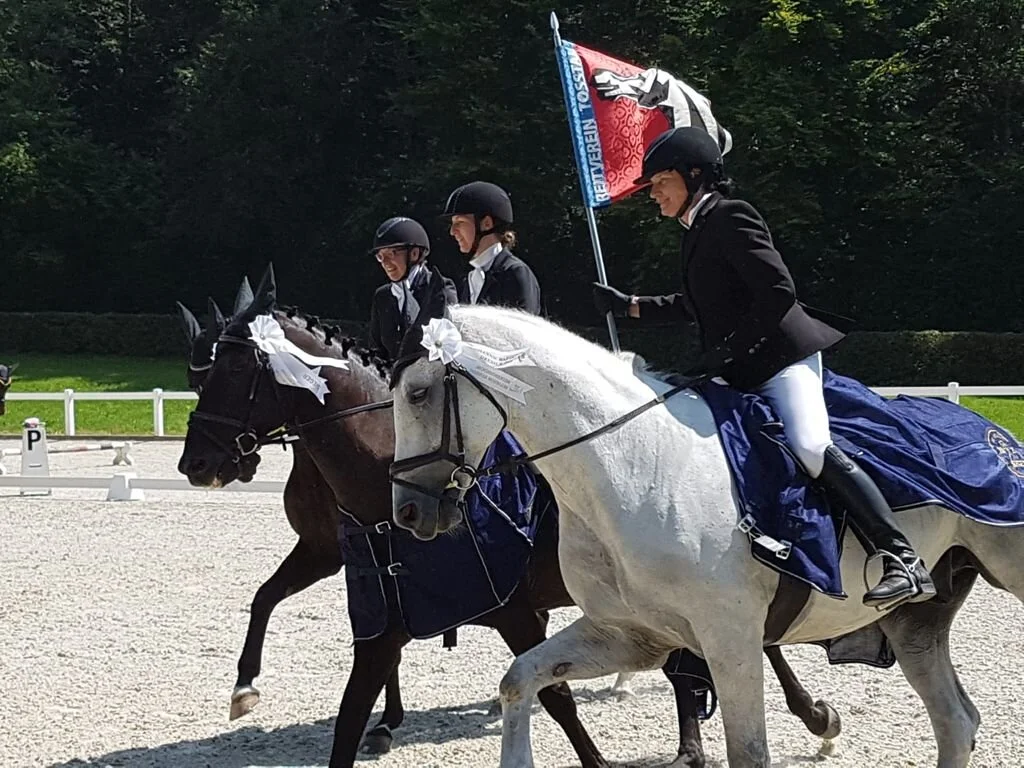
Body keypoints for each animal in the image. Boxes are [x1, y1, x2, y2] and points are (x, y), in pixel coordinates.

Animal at [176, 264, 841, 768]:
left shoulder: (511, 607)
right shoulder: (360, 579)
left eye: (232, 369)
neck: (378, 459)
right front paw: (250, 690)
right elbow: (273, 606)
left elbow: (561, 699)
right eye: (193, 373)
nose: (196, 463)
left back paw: (787, 720)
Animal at [389, 303, 1023, 768]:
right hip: (916, 621)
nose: (409, 514)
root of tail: (994, 433)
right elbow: (520, 679)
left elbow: (748, 751)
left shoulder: (730, 640)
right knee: (956, 722)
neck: (631, 463)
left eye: (418, 393)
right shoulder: (631, 635)